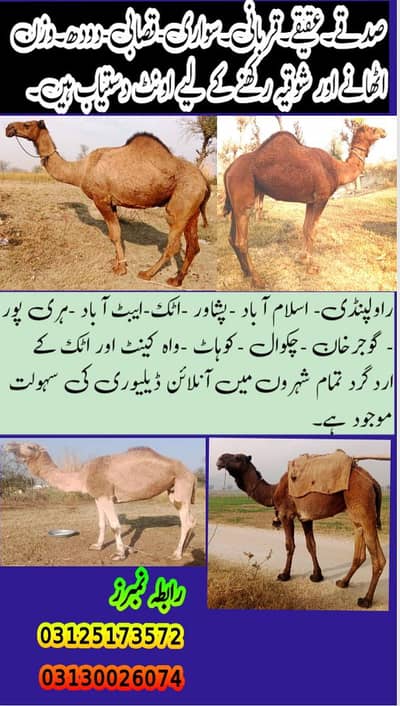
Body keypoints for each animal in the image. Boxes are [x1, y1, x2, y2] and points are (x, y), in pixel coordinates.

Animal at [5, 121, 210, 287]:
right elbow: (117, 233)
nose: (9, 128)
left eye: (27, 124)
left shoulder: (101, 199)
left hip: (180, 206)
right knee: (193, 245)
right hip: (192, 210)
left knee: (174, 245)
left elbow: (114, 235)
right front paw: (117, 264)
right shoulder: (112, 202)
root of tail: (205, 181)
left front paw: (120, 270)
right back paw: (177, 280)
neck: (81, 170)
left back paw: (147, 274)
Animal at [5, 442, 196, 561]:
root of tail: (191, 472)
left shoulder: (105, 494)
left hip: (182, 485)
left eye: (29, 446)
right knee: (188, 520)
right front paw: (97, 546)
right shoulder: (97, 497)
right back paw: (184, 549)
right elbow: (101, 523)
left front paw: (119, 554)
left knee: (186, 521)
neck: (81, 476)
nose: (7, 445)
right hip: (173, 490)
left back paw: (176, 554)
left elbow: (115, 526)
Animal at [216, 452, 387, 608]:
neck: (273, 491)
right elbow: (311, 545)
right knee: (360, 548)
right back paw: (343, 582)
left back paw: (366, 600)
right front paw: (317, 576)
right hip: (357, 515)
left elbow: (289, 545)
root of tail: (373, 481)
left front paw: (284, 575)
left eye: (238, 458)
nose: (220, 459)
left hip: (364, 507)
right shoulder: (305, 518)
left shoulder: (286, 514)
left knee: (378, 558)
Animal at [223, 125, 387, 287]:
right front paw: (311, 267)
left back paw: (246, 272)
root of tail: (228, 170)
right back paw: (258, 280)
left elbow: (305, 228)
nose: (384, 131)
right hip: (243, 200)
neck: (337, 169)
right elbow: (313, 231)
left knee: (232, 238)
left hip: (235, 204)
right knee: (241, 241)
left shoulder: (310, 201)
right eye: (372, 129)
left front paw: (301, 259)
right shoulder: (321, 198)